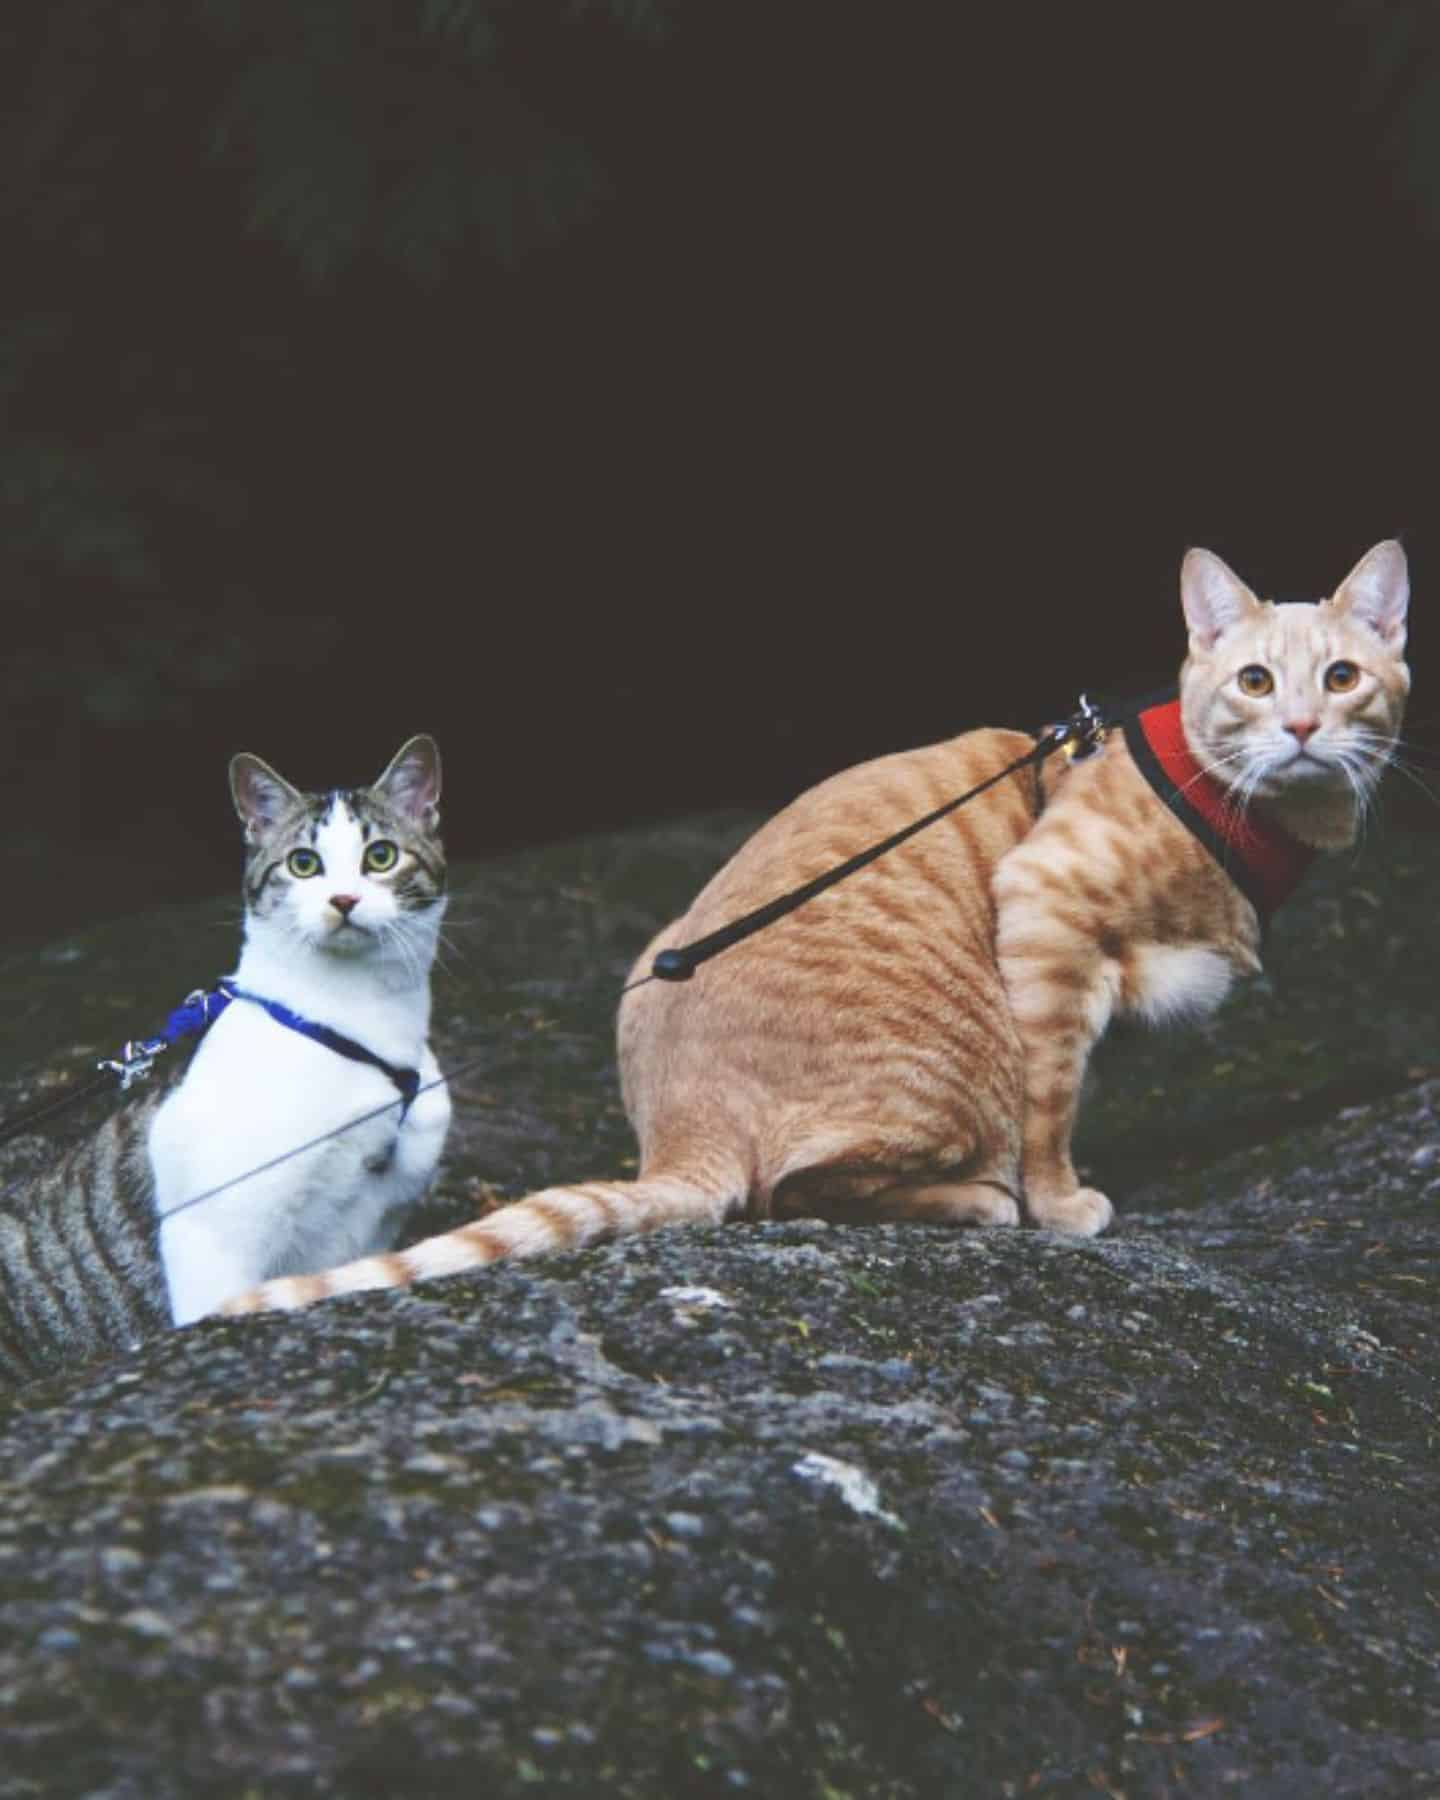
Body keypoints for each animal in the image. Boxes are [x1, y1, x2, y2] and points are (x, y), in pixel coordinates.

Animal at [0, 730, 450, 1375]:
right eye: (304, 863)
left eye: (382, 856)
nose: (342, 898)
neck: (355, 1025)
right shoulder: (216, 1236)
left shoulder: (371, 1222)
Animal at [222, 532, 1404, 1310]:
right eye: (1255, 682)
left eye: (1344, 678)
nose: (1304, 728)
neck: (1245, 811)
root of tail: (676, 1134)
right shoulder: (1045, 920)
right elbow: (1053, 1110)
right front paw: (1062, 1205)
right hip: (961, 1052)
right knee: (792, 1192)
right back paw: (980, 1202)